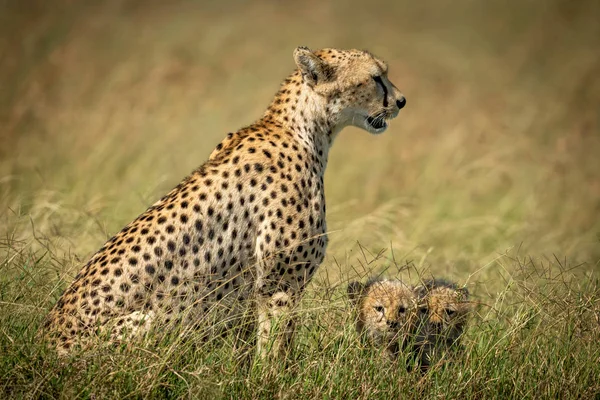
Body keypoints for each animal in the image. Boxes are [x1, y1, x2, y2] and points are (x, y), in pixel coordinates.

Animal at [39, 46, 408, 356]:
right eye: (375, 77)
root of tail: (44, 345)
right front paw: (273, 382)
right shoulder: (279, 284)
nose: (402, 101)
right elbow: (275, 350)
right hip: (157, 317)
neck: (305, 128)